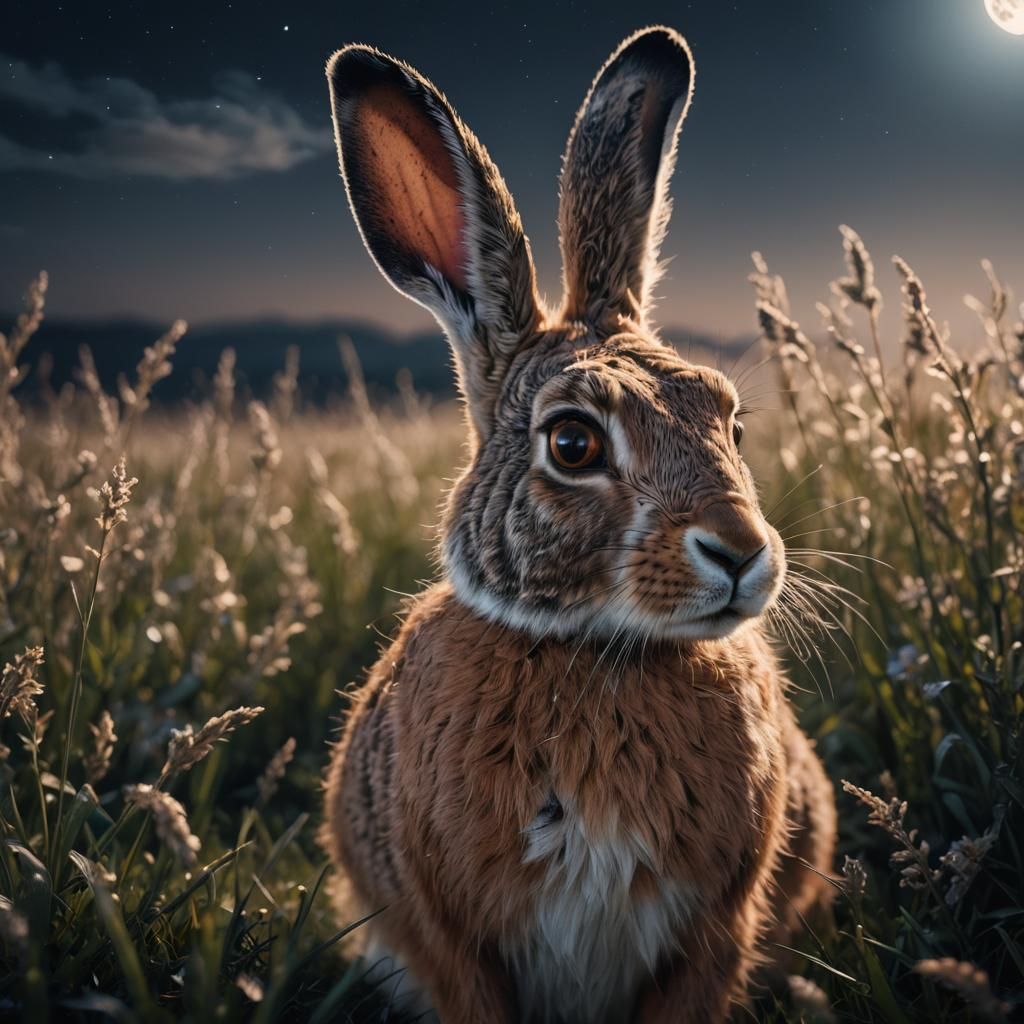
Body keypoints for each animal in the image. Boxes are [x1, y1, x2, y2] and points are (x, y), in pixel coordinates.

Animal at [321, 25, 836, 1024]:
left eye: (732, 427)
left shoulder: (715, 932)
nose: (742, 554)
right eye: (572, 442)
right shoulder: (453, 941)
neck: (594, 649)